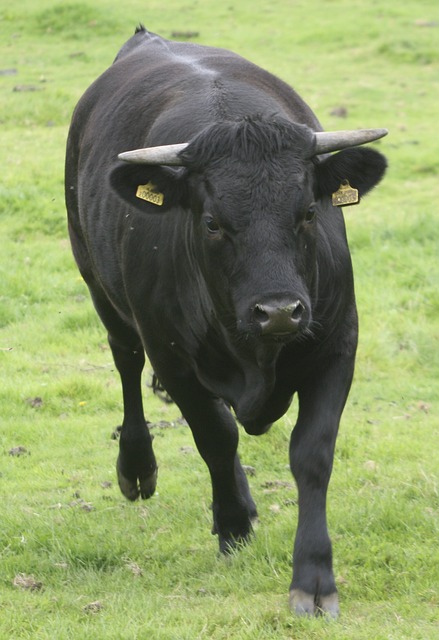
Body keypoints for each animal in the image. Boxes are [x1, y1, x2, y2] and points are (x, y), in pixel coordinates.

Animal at [65, 27, 388, 616]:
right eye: (213, 223)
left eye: (310, 213)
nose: (279, 310)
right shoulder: (172, 357)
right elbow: (214, 436)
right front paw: (234, 528)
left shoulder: (338, 346)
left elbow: (312, 454)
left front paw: (313, 578)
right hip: (98, 284)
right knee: (127, 363)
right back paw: (139, 469)